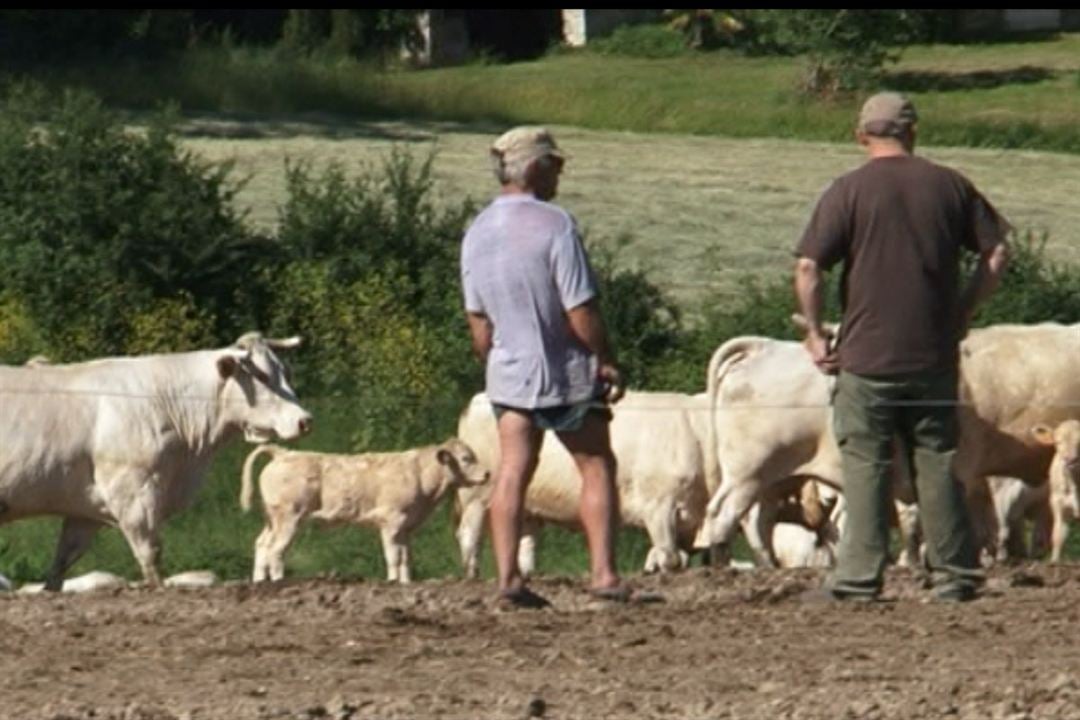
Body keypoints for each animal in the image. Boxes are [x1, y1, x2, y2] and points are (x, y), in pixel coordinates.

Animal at [0, 332, 311, 591]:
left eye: (286, 372)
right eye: (263, 377)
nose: (304, 420)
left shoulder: (84, 510)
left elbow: (61, 563)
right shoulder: (134, 495)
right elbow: (151, 555)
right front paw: (159, 591)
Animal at [241, 440, 490, 587]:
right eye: (466, 458)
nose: (488, 473)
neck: (419, 476)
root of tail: (283, 453)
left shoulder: (406, 528)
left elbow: (406, 557)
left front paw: (406, 583)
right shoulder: (390, 522)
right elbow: (393, 556)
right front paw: (392, 581)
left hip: (272, 519)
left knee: (261, 544)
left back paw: (259, 582)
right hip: (289, 518)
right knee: (276, 550)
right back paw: (278, 582)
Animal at [453, 390, 712, 578]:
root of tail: (478, 399)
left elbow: (681, 557)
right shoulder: (658, 506)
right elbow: (671, 557)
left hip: (527, 505)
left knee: (524, 541)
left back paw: (527, 575)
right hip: (478, 494)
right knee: (469, 533)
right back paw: (472, 575)